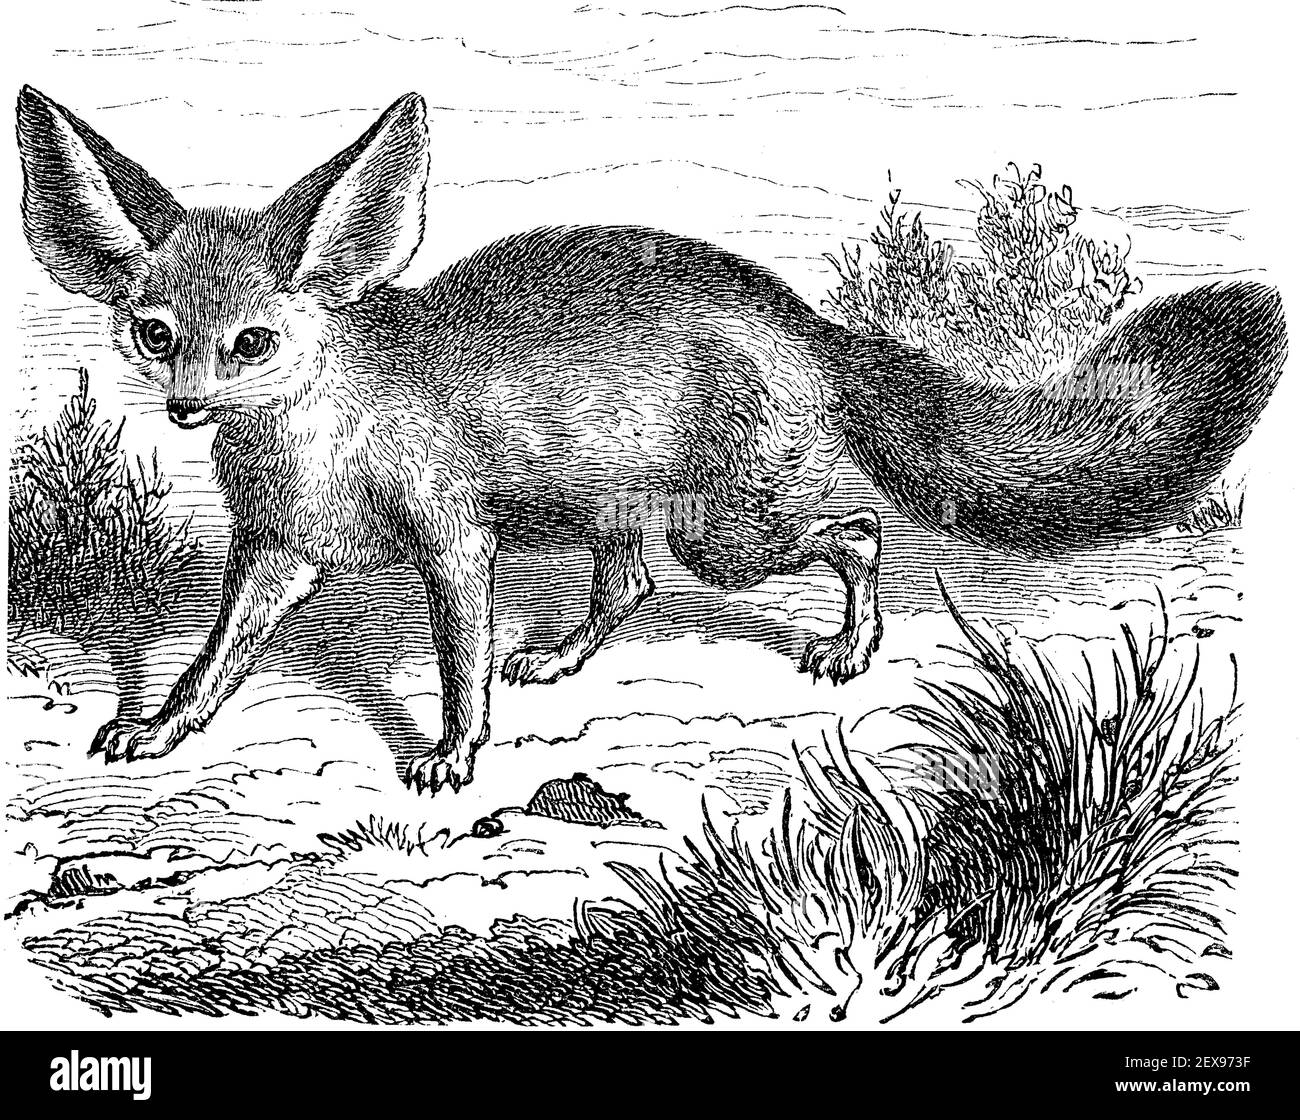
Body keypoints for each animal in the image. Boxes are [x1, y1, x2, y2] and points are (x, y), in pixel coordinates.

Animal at [16, 87, 1285, 795]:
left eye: (253, 342)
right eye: (157, 332)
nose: (187, 408)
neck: (319, 438)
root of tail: (811, 324)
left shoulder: (454, 545)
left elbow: (457, 662)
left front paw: (455, 754)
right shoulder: (277, 554)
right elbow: (212, 663)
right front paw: (158, 727)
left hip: (728, 534)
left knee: (858, 531)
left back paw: (848, 645)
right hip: (628, 514)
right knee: (629, 586)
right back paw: (562, 657)